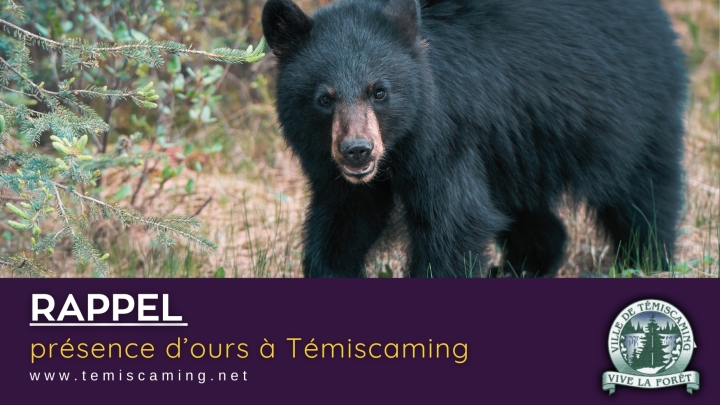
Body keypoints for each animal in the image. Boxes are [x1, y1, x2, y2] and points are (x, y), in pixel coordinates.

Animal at [261, 0, 688, 277]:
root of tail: (661, 19)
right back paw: (524, 267)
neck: (398, 149)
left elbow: (454, 224)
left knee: (643, 192)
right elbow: (343, 222)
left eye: (379, 91)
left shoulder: (445, 138)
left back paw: (645, 261)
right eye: (324, 98)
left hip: (630, 113)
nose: (357, 152)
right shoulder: (334, 170)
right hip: (519, 147)